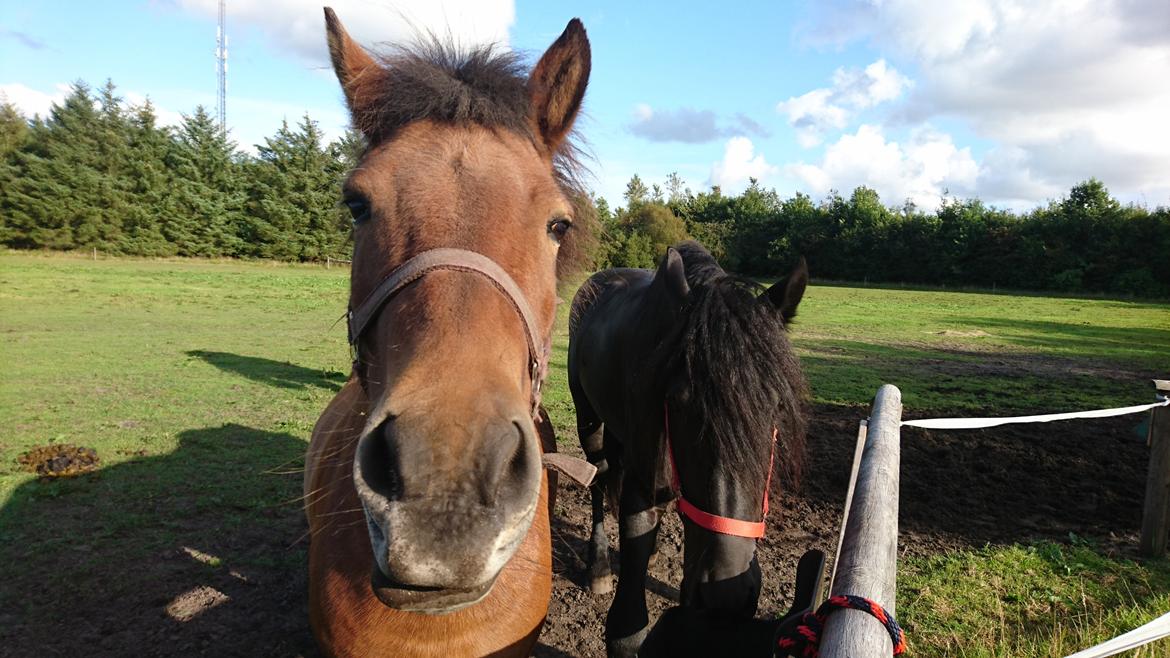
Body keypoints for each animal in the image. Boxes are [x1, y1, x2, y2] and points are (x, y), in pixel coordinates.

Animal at [568, 240, 809, 650]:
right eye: (678, 402)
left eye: (776, 406)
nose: (727, 595)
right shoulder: (640, 489)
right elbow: (627, 631)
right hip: (590, 421)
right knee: (598, 479)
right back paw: (598, 565)